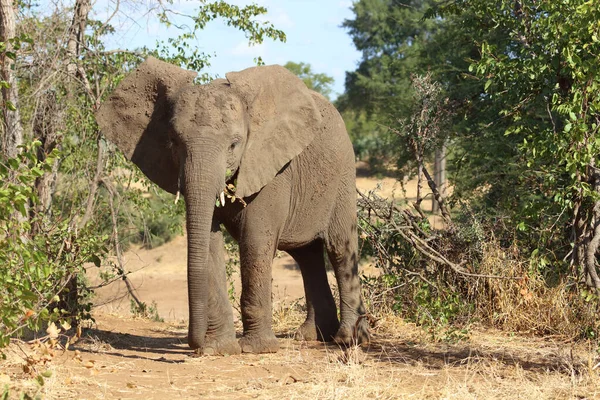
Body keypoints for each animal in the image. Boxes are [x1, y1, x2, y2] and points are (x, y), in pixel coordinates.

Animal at [95, 56, 368, 354]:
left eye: (234, 145)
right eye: (173, 142)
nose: (193, 344)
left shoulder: (271, 167)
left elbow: (255, 240)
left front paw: (256, 349)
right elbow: (209, 241)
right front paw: (219, 349)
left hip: (343, 174)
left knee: (339, 248)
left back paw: (349, 339)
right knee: (307, 255)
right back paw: (311, 336)